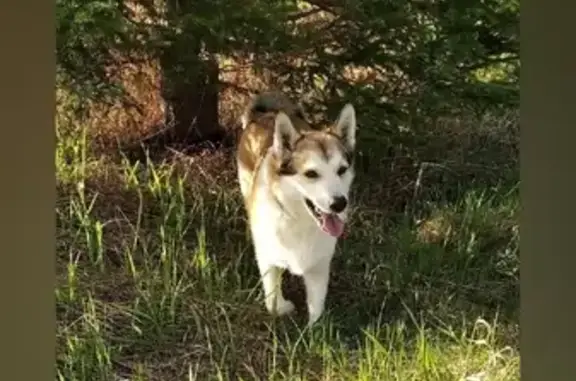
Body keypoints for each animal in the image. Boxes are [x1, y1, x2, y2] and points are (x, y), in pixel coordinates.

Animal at [234, 90, 356, 326]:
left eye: (342, 170)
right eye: (311, 174)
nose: (339, 203)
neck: (299, 219)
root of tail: (266, 114)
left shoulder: (319, 266)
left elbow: (317, 306)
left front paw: (315, 330)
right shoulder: (267, 255)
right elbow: (272, 291)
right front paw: (279, 308)